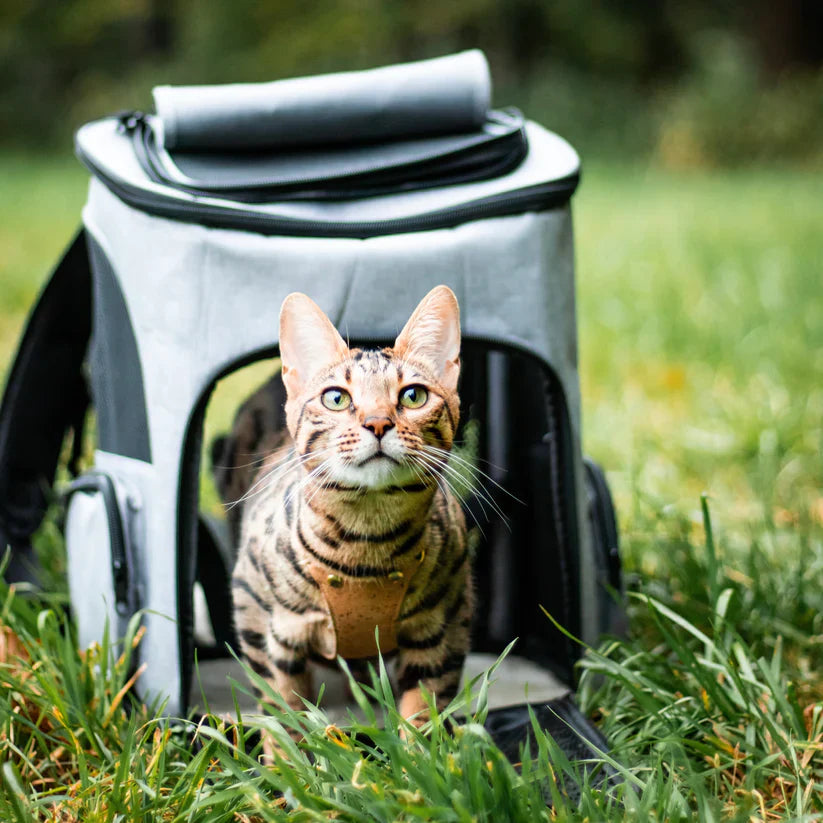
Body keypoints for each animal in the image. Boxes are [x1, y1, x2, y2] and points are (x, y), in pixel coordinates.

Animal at [225, 286, 474, 724]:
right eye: (336, 399)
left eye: (414, 395)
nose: (377, 423)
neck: (367, 540)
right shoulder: (257, 615)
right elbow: (281, 709)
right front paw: (284, 743)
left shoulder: (445, 626)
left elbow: (424, 713)